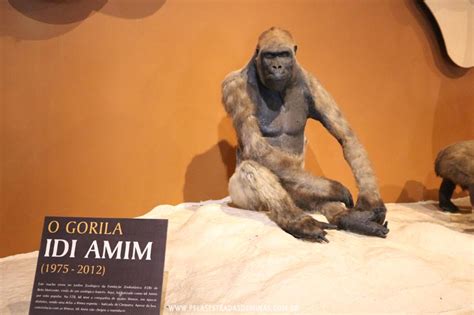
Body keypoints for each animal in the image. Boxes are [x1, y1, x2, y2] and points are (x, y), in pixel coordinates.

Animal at [222, 28, 388, 243]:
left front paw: (371, 201)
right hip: (242, 199)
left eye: (284, 54)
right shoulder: (233, 86)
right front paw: (335, 188)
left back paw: (350, 219)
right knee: (251, 168)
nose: (277, 66)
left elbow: (347, 136)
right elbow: (255, 147)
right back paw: (298, 222)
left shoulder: (314, 85)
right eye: (269, 55)